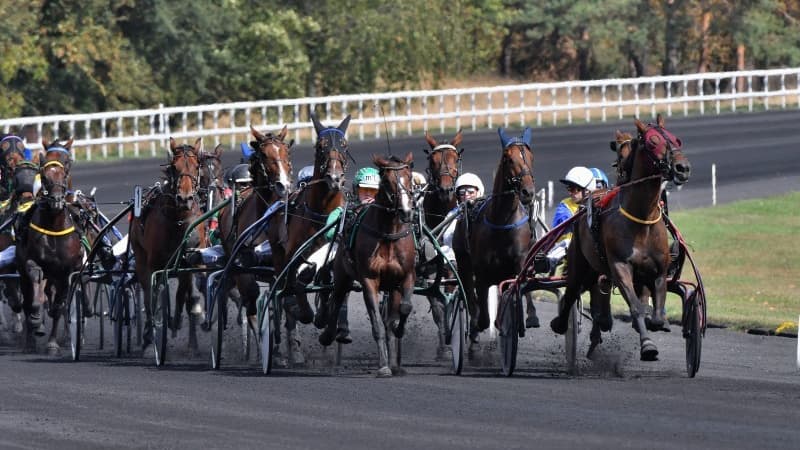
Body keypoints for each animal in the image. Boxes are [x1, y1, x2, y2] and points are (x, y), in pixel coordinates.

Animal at [15, 139, 85, 354]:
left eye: (66, 170)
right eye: (44, 175)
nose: (56, 201)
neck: (54, 226)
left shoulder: (66, 272)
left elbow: (58, 307)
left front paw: (53, 343)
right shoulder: (32, 262)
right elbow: (35, 295)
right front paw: (37, 320)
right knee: (28, 299)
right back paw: (30, 339)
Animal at [130, 137, 208, 356]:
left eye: (197, 166)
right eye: (174, 167)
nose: (185, 198)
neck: (178, 221)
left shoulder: (189, 261)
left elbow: (185, 293)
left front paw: (184, 318)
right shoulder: (154, 264)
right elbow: (154, 297)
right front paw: (152, 337)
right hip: (141, 259)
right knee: (149, 297)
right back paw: (149, 337)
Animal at [320, 151, 418, 376]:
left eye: (409, 178)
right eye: (388, 181)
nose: (407, 211)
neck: (388, 234)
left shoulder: (406, 276)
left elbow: (404, 309)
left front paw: (399, 331)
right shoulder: (369, 280)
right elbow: (377, 324)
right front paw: (383, 366)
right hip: (342, 274)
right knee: (336, 299)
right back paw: (328, 334)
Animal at [454, 126, 536, 348]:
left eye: (531, 157)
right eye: (508, 159)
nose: (528, 191)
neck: (502, 221)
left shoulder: (520, 259)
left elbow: (522, 284)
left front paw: (529, 317)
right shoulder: (481, 271)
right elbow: (479, 303)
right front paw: (478, 324)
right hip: (463, 261)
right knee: (469, 291)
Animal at [552, 114, 692, 360]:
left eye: (677, 139)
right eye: (653, 142)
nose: (682, 167)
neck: (641, 219)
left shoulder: (658, 271)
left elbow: (655, 313)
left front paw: (657, 323)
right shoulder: (619, 267)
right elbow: (636, 307)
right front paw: (647, 345)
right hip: (580, 261)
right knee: (571, 292)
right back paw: (562, 324)